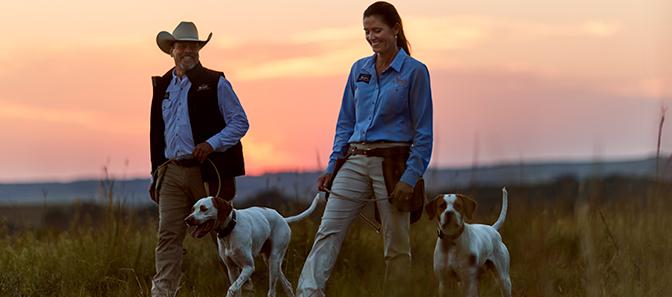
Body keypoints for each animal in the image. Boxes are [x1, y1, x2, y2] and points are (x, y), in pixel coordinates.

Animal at [182, 192, 322, 296]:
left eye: (203, 209)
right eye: (193, 209)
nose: (187, 220)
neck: (230, 230)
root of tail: (282, 218)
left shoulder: (248, 267)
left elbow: (232, 289)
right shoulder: (232, 269)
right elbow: (236, 290)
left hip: (273, 260)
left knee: (272, 291)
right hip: (271, 262)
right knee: (287, 285)